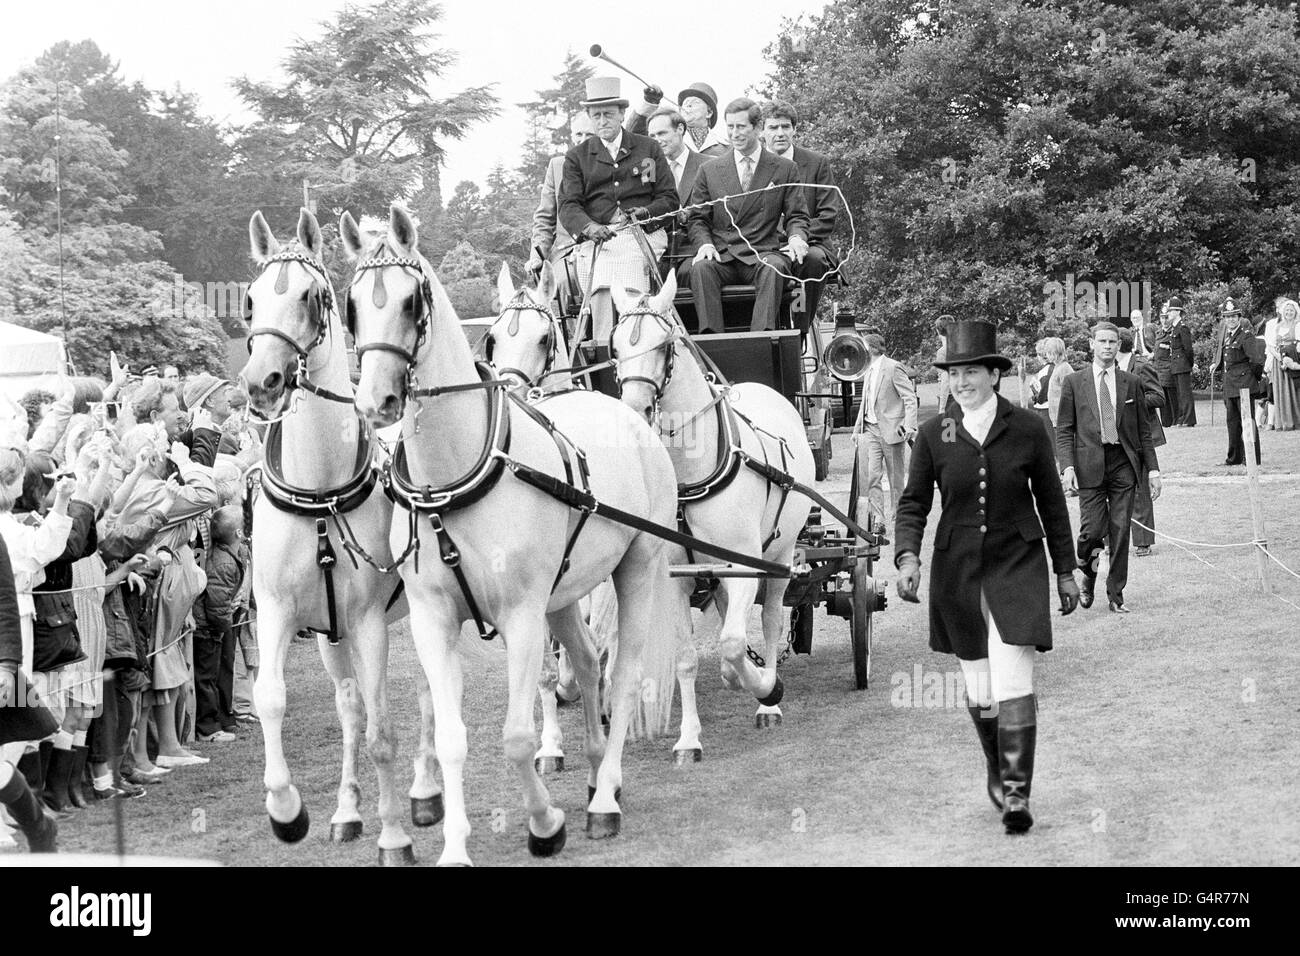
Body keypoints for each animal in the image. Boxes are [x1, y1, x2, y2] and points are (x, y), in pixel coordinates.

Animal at [241, 209, 444, 868]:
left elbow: (382, 729)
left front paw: (395, 836)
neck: (319, 493)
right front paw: (290, 810)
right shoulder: (283, 613)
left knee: (425, 691)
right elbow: (275, 698)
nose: (260, 382)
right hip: (331, 635)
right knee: (353, 707)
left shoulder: (368, 621)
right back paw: (351, 810)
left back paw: (425, 793)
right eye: (251, 299)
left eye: (311, 296)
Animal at [340, 204, 686, 868]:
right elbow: (454, 736)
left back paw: (606, 797)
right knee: (587, 660)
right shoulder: (433, 617)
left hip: (638, 565)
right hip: (564, 592)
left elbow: (517, 736)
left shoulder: (522, 613)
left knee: (624, 673)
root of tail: (628, 411)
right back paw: (596, 769)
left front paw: (545, 823)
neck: (454, 476)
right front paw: (454, 845)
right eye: (350, 304)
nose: (375, 400)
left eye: (409, 301)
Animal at [608, 273, 811, 749]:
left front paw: (764, 687)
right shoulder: (676, 577)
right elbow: (687, 656)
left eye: (664, 346)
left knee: (770, 620)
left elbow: (735, 641)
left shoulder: (745, 565)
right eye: (615, 347)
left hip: (779, 555)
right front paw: (688, 738)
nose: (635, 411)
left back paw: (765, 696)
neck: (689, 475)